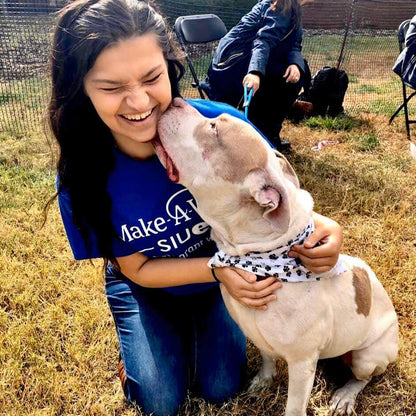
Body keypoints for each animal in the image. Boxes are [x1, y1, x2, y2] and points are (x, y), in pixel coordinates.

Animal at [154, 98, 398, 416]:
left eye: (213, 126)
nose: (175, 100)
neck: (259, 255)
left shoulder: (301, 363)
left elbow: (294, 406)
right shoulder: (260, 337)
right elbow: (268, 357)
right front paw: (263, 380)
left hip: (367, 356)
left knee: (363, 377)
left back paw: (345, 396)